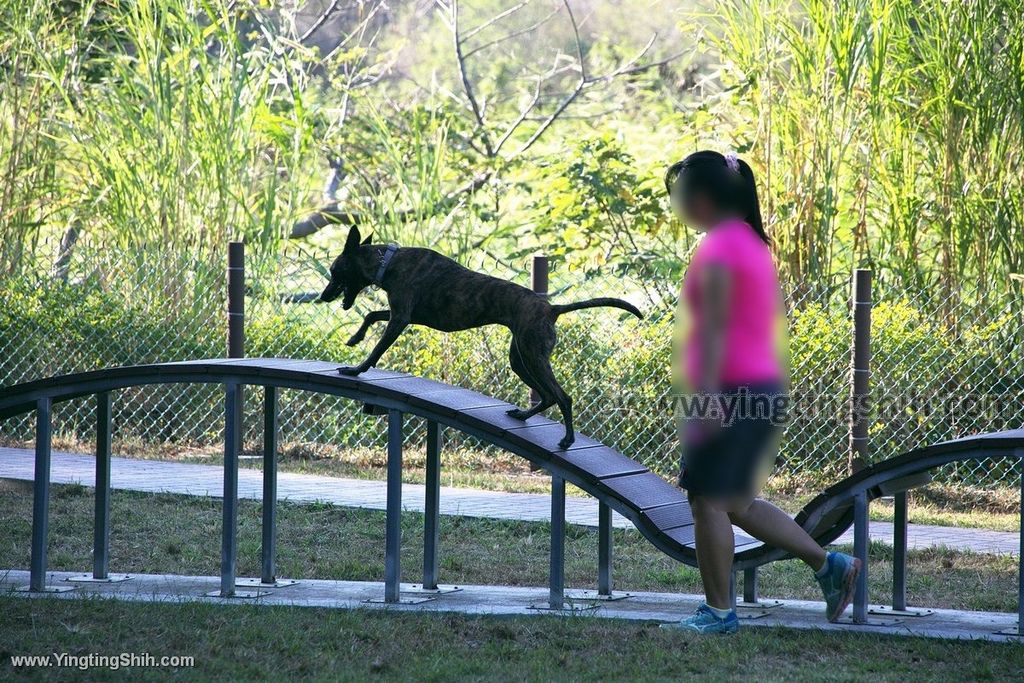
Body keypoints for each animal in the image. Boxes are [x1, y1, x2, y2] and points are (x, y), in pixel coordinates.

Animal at [315, 224, 643, 448]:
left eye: (334, 270)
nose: (322, 297)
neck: (387, 261)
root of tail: (552, 308)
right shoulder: (402, 315)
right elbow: (371, 315)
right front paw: (355, 339)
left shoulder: (400, 319)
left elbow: (376, 350)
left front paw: (356, 369)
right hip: (520, 359)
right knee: (548, 395)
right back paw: (523, 417)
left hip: (533, 356)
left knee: (563, 396)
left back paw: (567, 440)